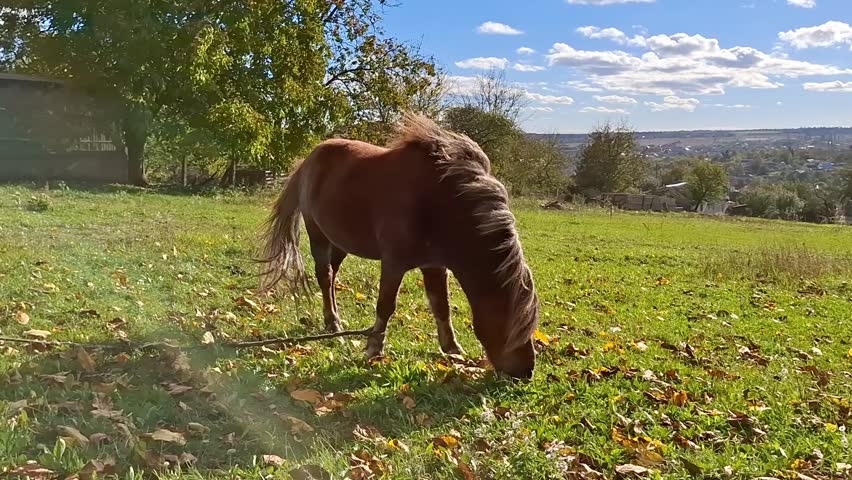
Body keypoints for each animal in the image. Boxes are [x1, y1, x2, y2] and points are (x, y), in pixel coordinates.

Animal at [259, 113, 539, 379]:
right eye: (514, 326)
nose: (526, 372)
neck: (440, 201)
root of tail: (307, 161)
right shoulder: (394, 263)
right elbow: (386, 305)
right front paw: (374, 348)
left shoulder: (435, 266)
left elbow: (442, 306)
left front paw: (452, 349)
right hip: (318, 235)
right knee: (324, 275)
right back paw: (333, 323)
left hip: (340, 242)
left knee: (332, 275)